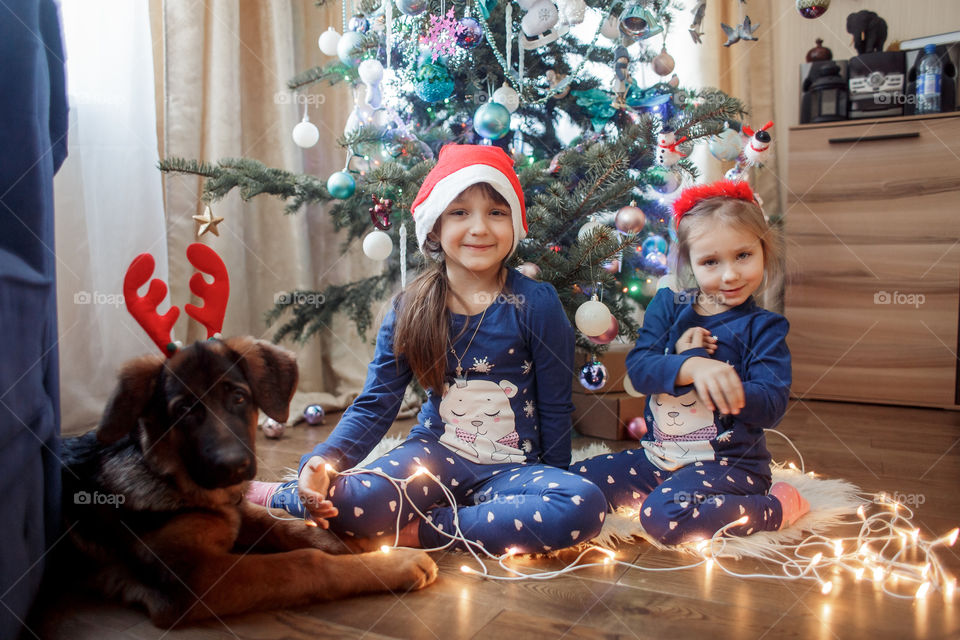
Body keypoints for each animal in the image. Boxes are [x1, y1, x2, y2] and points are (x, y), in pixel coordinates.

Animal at [59, 338, 436, 628]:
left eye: (239, 398)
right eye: (183, 411)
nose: (233, 467)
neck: (173, 477)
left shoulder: (239, 514)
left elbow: (288, 525)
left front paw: (352, 541)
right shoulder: (192, 576)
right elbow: (304, 562)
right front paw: (394, 563)